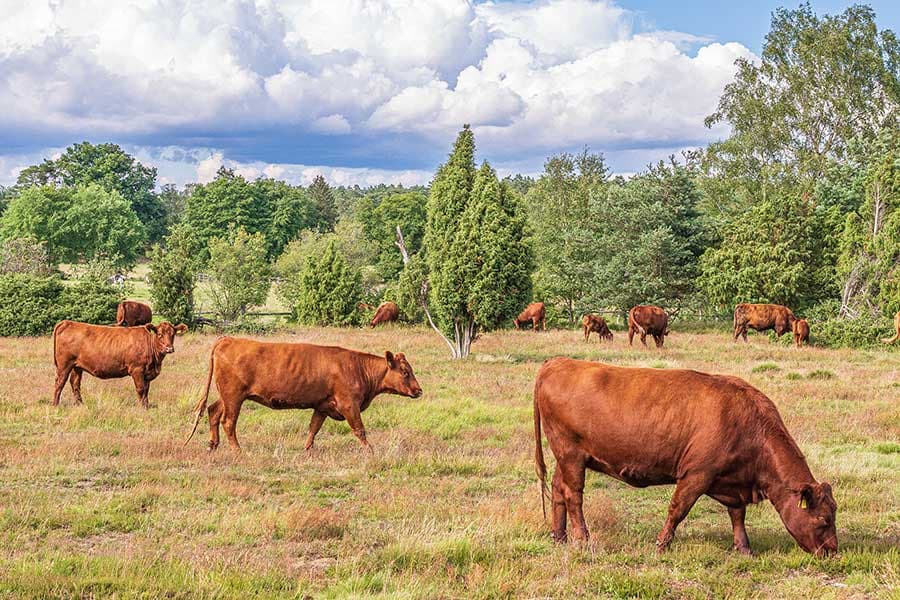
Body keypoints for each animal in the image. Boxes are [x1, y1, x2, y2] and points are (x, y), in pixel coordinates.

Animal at [51, 318, 188, 408]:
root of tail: (67, 322)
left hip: (77, 366)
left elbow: (146, 390)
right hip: (64, 365)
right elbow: (140, 389)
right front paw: (141, 408)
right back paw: (55, 404)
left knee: (75, 383)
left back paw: (80, 404)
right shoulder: (137, 370)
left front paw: (146, 405)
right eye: (159, 334)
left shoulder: (147, 373)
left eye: (173, 334)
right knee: (60, 383)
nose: (169, 348)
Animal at [185, 338, 424, 450]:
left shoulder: (322, 407)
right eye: (405, 372)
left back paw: (213, 445)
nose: (419, 390)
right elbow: (360, 430)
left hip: (226, 397)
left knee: (213, 411)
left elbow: (313, 429)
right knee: (228, 422)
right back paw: (237, 450)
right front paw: (371, 452)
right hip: (234, 398)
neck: (357, 367)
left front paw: (307, 449)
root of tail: (229, 339)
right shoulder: (349, 406)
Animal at [536, 356, 836, 556]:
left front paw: (744, 548)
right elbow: (677, 510)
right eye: (823, 519)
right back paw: (583, 539)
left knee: (558, 489)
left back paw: (559, 536)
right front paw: (661, 545)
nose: (832, 551)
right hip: (571, 456)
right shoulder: (697, 474)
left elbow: (737, 515)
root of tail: (557, 363)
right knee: (573, 495)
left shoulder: (732, 482)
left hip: (564, 458)